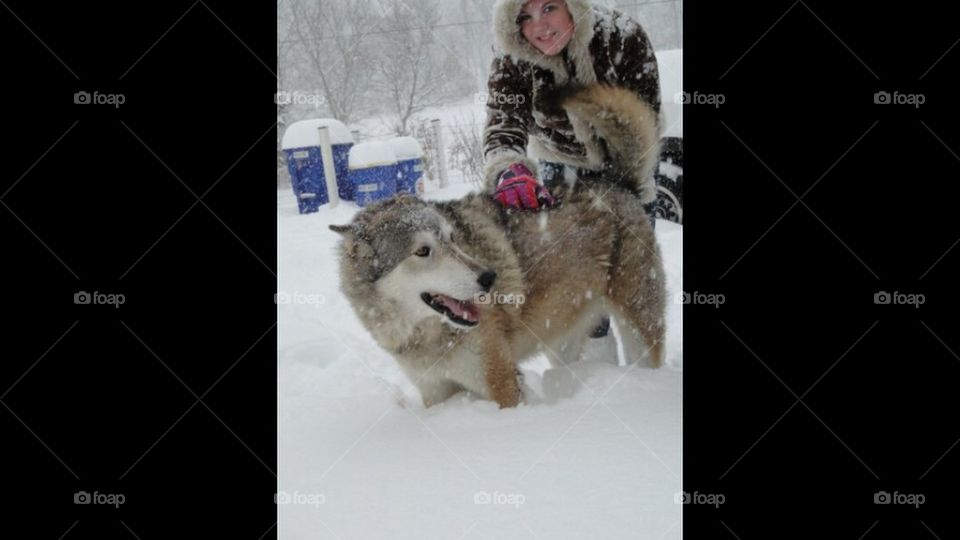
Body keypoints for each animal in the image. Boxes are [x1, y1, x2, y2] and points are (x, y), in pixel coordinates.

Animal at [330, 85, 666, 408]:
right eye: (423, 251)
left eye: (451, 238)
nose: (489, 278)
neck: (423, 335)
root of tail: (616, 181)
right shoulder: (435, 393)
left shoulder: (502, 384)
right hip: (561, 339)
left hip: (638, 325)